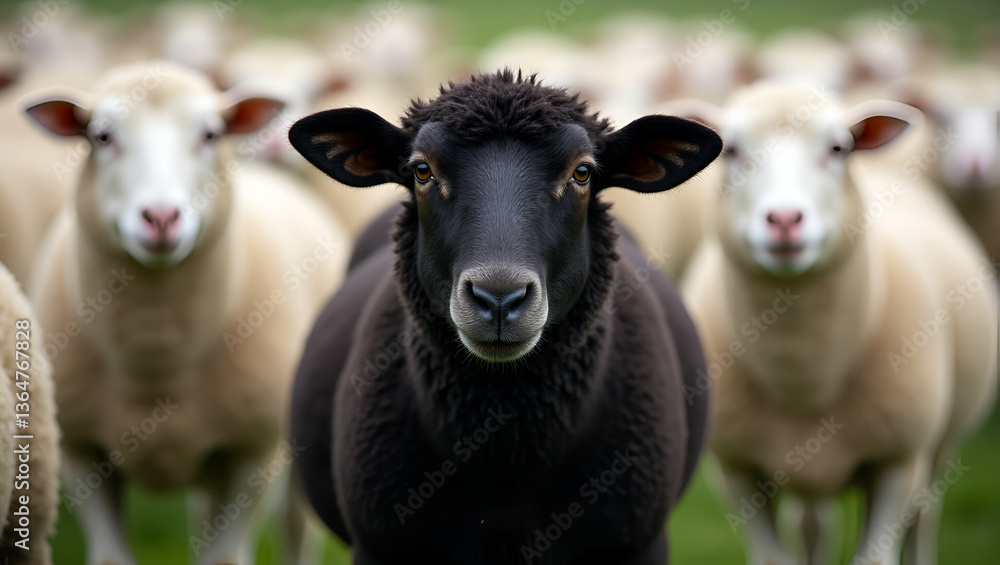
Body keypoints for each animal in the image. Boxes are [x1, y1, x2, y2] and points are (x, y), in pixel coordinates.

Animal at [24, 60, 348, 565]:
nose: (161, 218)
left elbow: (225, 557)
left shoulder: (252, 456)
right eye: (101, 136)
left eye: (211, 134)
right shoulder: (80, 454)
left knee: (295, 526)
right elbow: (111, 556)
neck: (156, 362)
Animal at [287, 69, 721, 563]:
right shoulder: (379, 547)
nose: (498, 298)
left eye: (583, 172)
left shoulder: (638, 545)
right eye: (421, 170)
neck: (507, 456)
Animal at [681, 82, 997, 565]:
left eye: (838, 148)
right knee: (813, 524)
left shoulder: (897, 463)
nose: (785, 220)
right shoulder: (735, 468)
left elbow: (876, 556)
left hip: (938, 446)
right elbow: (774, 557)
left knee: (923, 518)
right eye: (731, 150)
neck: (805, 375)